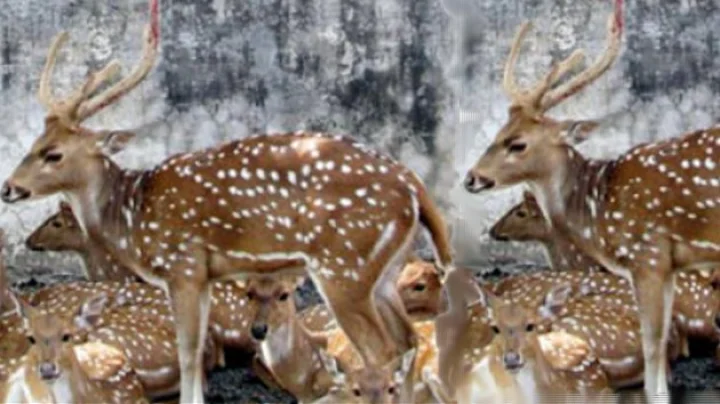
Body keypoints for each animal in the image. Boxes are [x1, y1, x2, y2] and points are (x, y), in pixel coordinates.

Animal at [462, 0, 720, 397]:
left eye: (517, 143)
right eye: (498, 132)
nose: (471, 178)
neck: (597, 209)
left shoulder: (647, 256)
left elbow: (653, 353)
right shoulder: (669, 266)